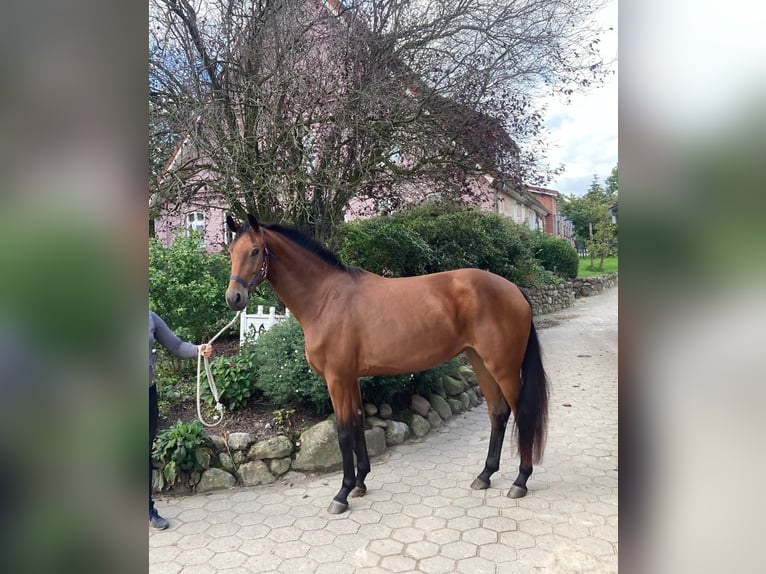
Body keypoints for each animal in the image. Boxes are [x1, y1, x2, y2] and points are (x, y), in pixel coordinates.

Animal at [225, 214, 548, 516]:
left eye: (255, 251)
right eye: (230, 251)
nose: (233, 298)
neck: (327, 298)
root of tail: (514, 290)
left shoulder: (337, 379)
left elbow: (343, 431)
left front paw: (341, 494)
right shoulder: (350, 378)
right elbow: (357, 422)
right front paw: (359, 484)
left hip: (504, 367)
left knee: (522, 413)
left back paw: (520, 480)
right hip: (480, 362)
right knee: (498, 412)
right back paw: (485, 475)